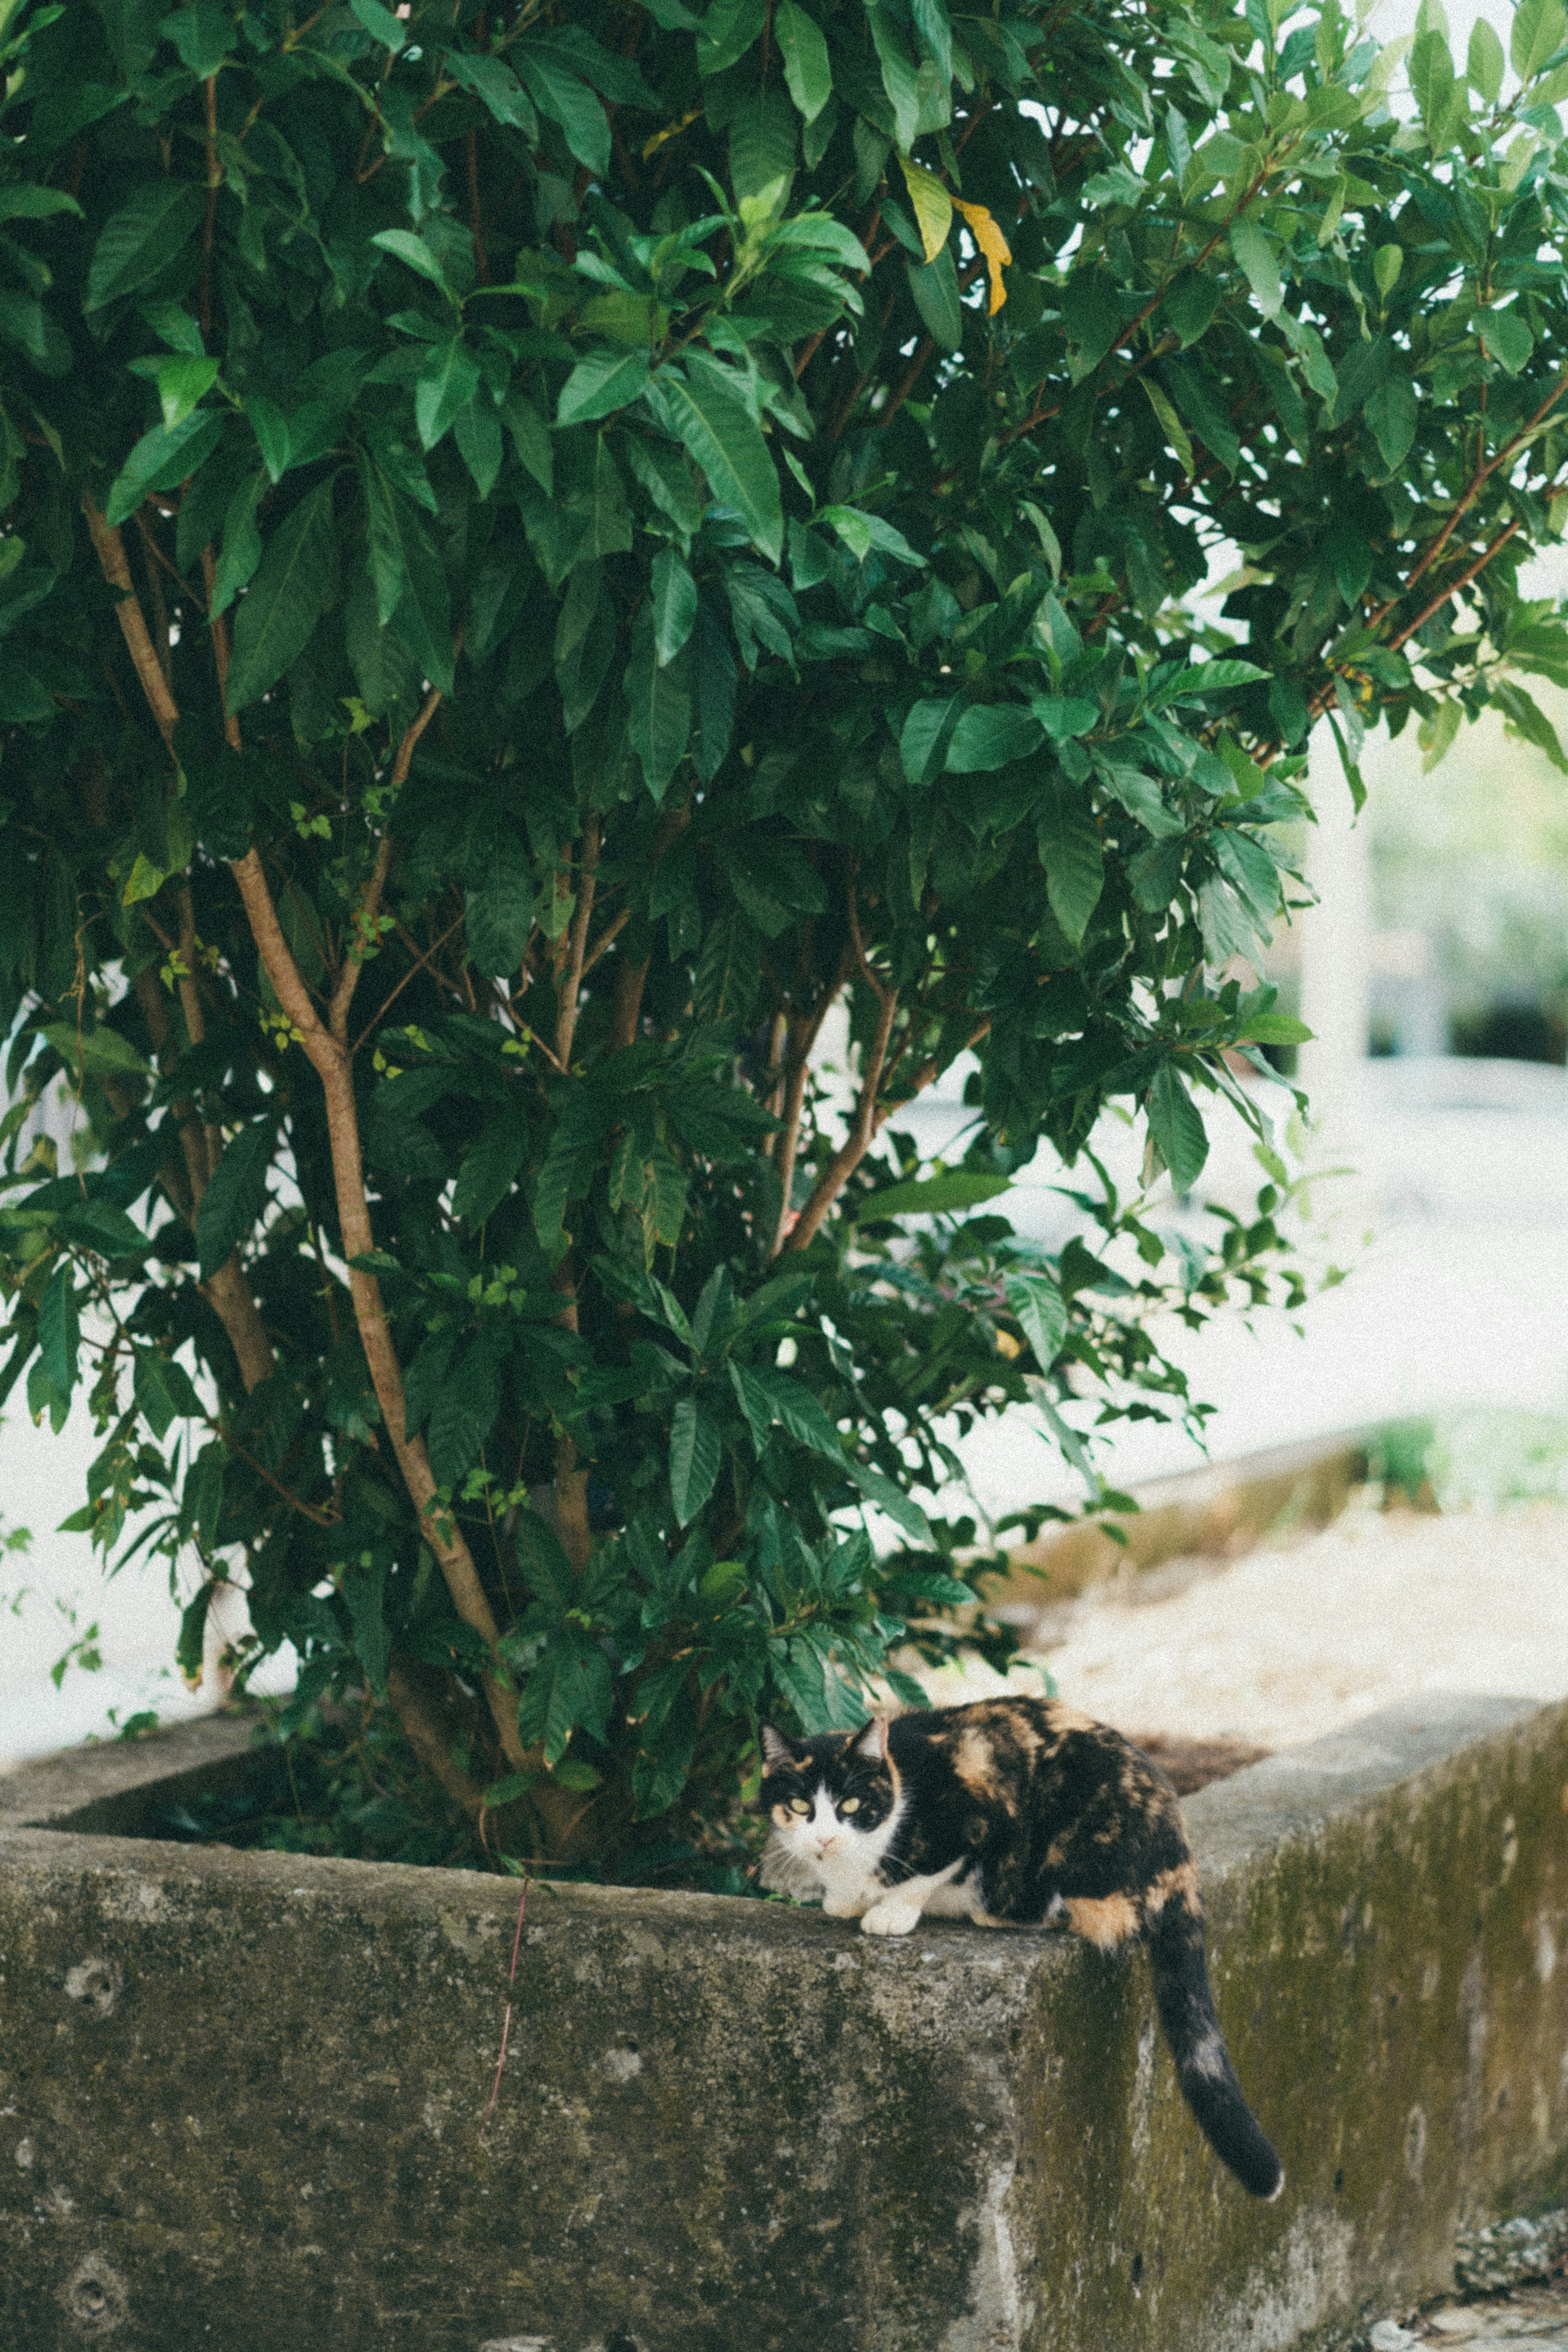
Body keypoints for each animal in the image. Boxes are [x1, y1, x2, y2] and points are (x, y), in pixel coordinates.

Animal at [762, 1703, 1288, 2192]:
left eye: (851, 1805)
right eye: (800, 1806)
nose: (825, 1839)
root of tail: (1180, 1851)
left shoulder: (973, 1817)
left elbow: (929, 1873)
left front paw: (892, 1911)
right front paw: (844, 1901)